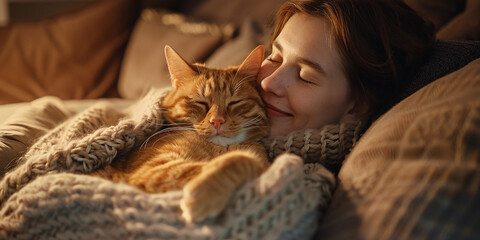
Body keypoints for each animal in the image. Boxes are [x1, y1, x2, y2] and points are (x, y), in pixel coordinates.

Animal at [90, 44, 270, 223]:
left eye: (235, 102)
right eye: (200, 102)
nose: (217, 121)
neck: (220, 148)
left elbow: (245, 160)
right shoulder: (153, 170)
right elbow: (241, 159)